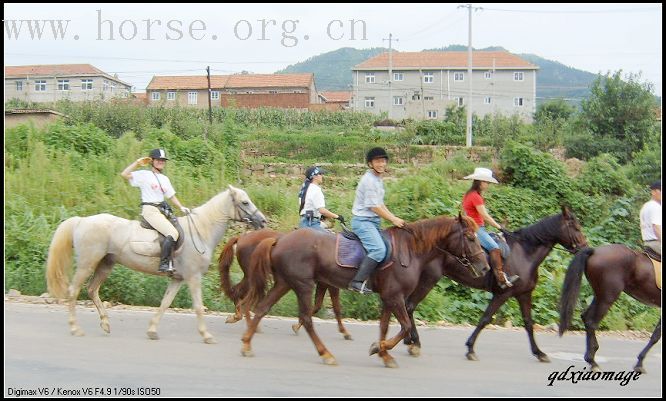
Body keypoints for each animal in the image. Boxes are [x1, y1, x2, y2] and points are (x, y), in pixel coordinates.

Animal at [46, 185, 268, 344]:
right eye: (245, 202)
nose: (263, 221)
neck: (200, 232)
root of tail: (81, 221)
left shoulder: (178, 279)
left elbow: (165, 303)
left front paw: (152, 331)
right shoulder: (193, 277)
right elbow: (198, 307)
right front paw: (207, 336)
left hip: (105, 264)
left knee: (92, 290)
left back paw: (106, 324)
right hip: (87, 263)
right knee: (74, 291)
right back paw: (75, 328)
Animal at [218, 228, 352, 338]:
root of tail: (242, 237)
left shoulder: (323, 284)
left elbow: (318, 306)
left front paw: (297, 326)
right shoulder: (331, 284)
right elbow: (336, 308)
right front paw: (345, 332)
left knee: (239, 292)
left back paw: (242, 320)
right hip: (252, 275)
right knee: (239, 293)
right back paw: (244, 321)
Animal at [240, 214, 488, 368]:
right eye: (470, 237)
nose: (485, 267)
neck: (410, 251)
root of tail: (279, 240)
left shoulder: (388, 298)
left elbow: (385, 327)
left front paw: (384, 354)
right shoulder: (395, 297)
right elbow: (405, 326)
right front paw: (379, 348)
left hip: (285, 282)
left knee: (262, 308)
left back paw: (246, 344)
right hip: (303, 285)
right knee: (306, 318)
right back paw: (326, 354)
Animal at [400, 208, 588, 360]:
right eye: (576, 228)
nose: (585, 247)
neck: (525, 254)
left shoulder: (524, 294)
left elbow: (528, 323)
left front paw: (539, 352)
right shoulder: (503, 294)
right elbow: (485, 319)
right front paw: (470, 349)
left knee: (406, 306)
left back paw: (409, 340)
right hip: (429, 279)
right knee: (409, 306)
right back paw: (414, 342)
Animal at [556, 244, 660, 372]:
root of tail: (595, 251)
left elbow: (656, 335)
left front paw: (639, 363)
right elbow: (656, 336)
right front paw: (639, 364)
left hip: (599, 296)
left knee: (586, 317)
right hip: (607, 298)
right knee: (591, 321)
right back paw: (592, 361)